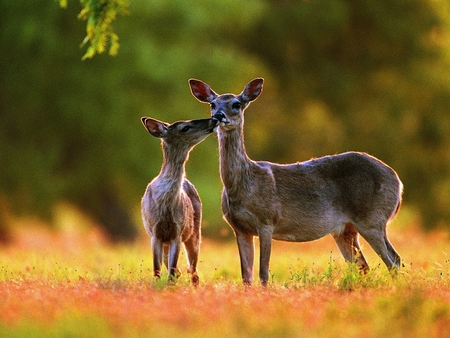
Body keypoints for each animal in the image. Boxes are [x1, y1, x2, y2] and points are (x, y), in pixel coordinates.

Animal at [140, 116, 219, 286]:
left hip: (195, 232)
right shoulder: (154, 232)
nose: (214, 119)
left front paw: (170, 286)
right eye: (184, 128)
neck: (165, 203)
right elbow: (157, 268)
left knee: (193, 270)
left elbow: (171, 269)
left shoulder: (178, 231)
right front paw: (158, 285)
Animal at [188, 78, 402, 286]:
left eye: (236, 104)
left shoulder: (267, 220)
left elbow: (263, 273)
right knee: (364, 266)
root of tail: (398, 182)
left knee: (394, 259)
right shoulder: (239, 228)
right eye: (212, 104)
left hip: (372, 217)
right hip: (345, 229)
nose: (218, 116)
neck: (244, 184)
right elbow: (246, 277)